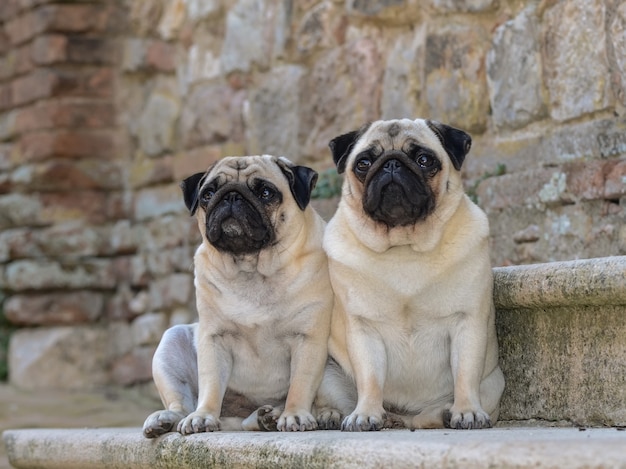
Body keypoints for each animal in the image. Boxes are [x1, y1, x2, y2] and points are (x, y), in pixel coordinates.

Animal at [144, 155, 334, 436]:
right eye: (208, 194)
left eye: (265, 192)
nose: (231, 196)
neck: (251, 269)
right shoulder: (214, 339)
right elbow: (211, 385)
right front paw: (203, 416)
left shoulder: (308, 338)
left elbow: (300, 384)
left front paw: (295, 415)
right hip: (172, 341)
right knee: (183, 404)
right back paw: (167, 419)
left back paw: (285, 415)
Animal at [314, 118, 504, 432]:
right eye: (363, 163)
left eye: (424, 160)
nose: (392, 164)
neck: (403, 246)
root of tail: (401, 417)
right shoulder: (363, 329)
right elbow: (370, 378)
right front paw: (366, 413)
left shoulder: (468, 322)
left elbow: (465, 373)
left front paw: (467, 411)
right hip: (328, 372)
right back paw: (327, 414)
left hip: (492, 384)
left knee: (431, 413)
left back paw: (446, 412)